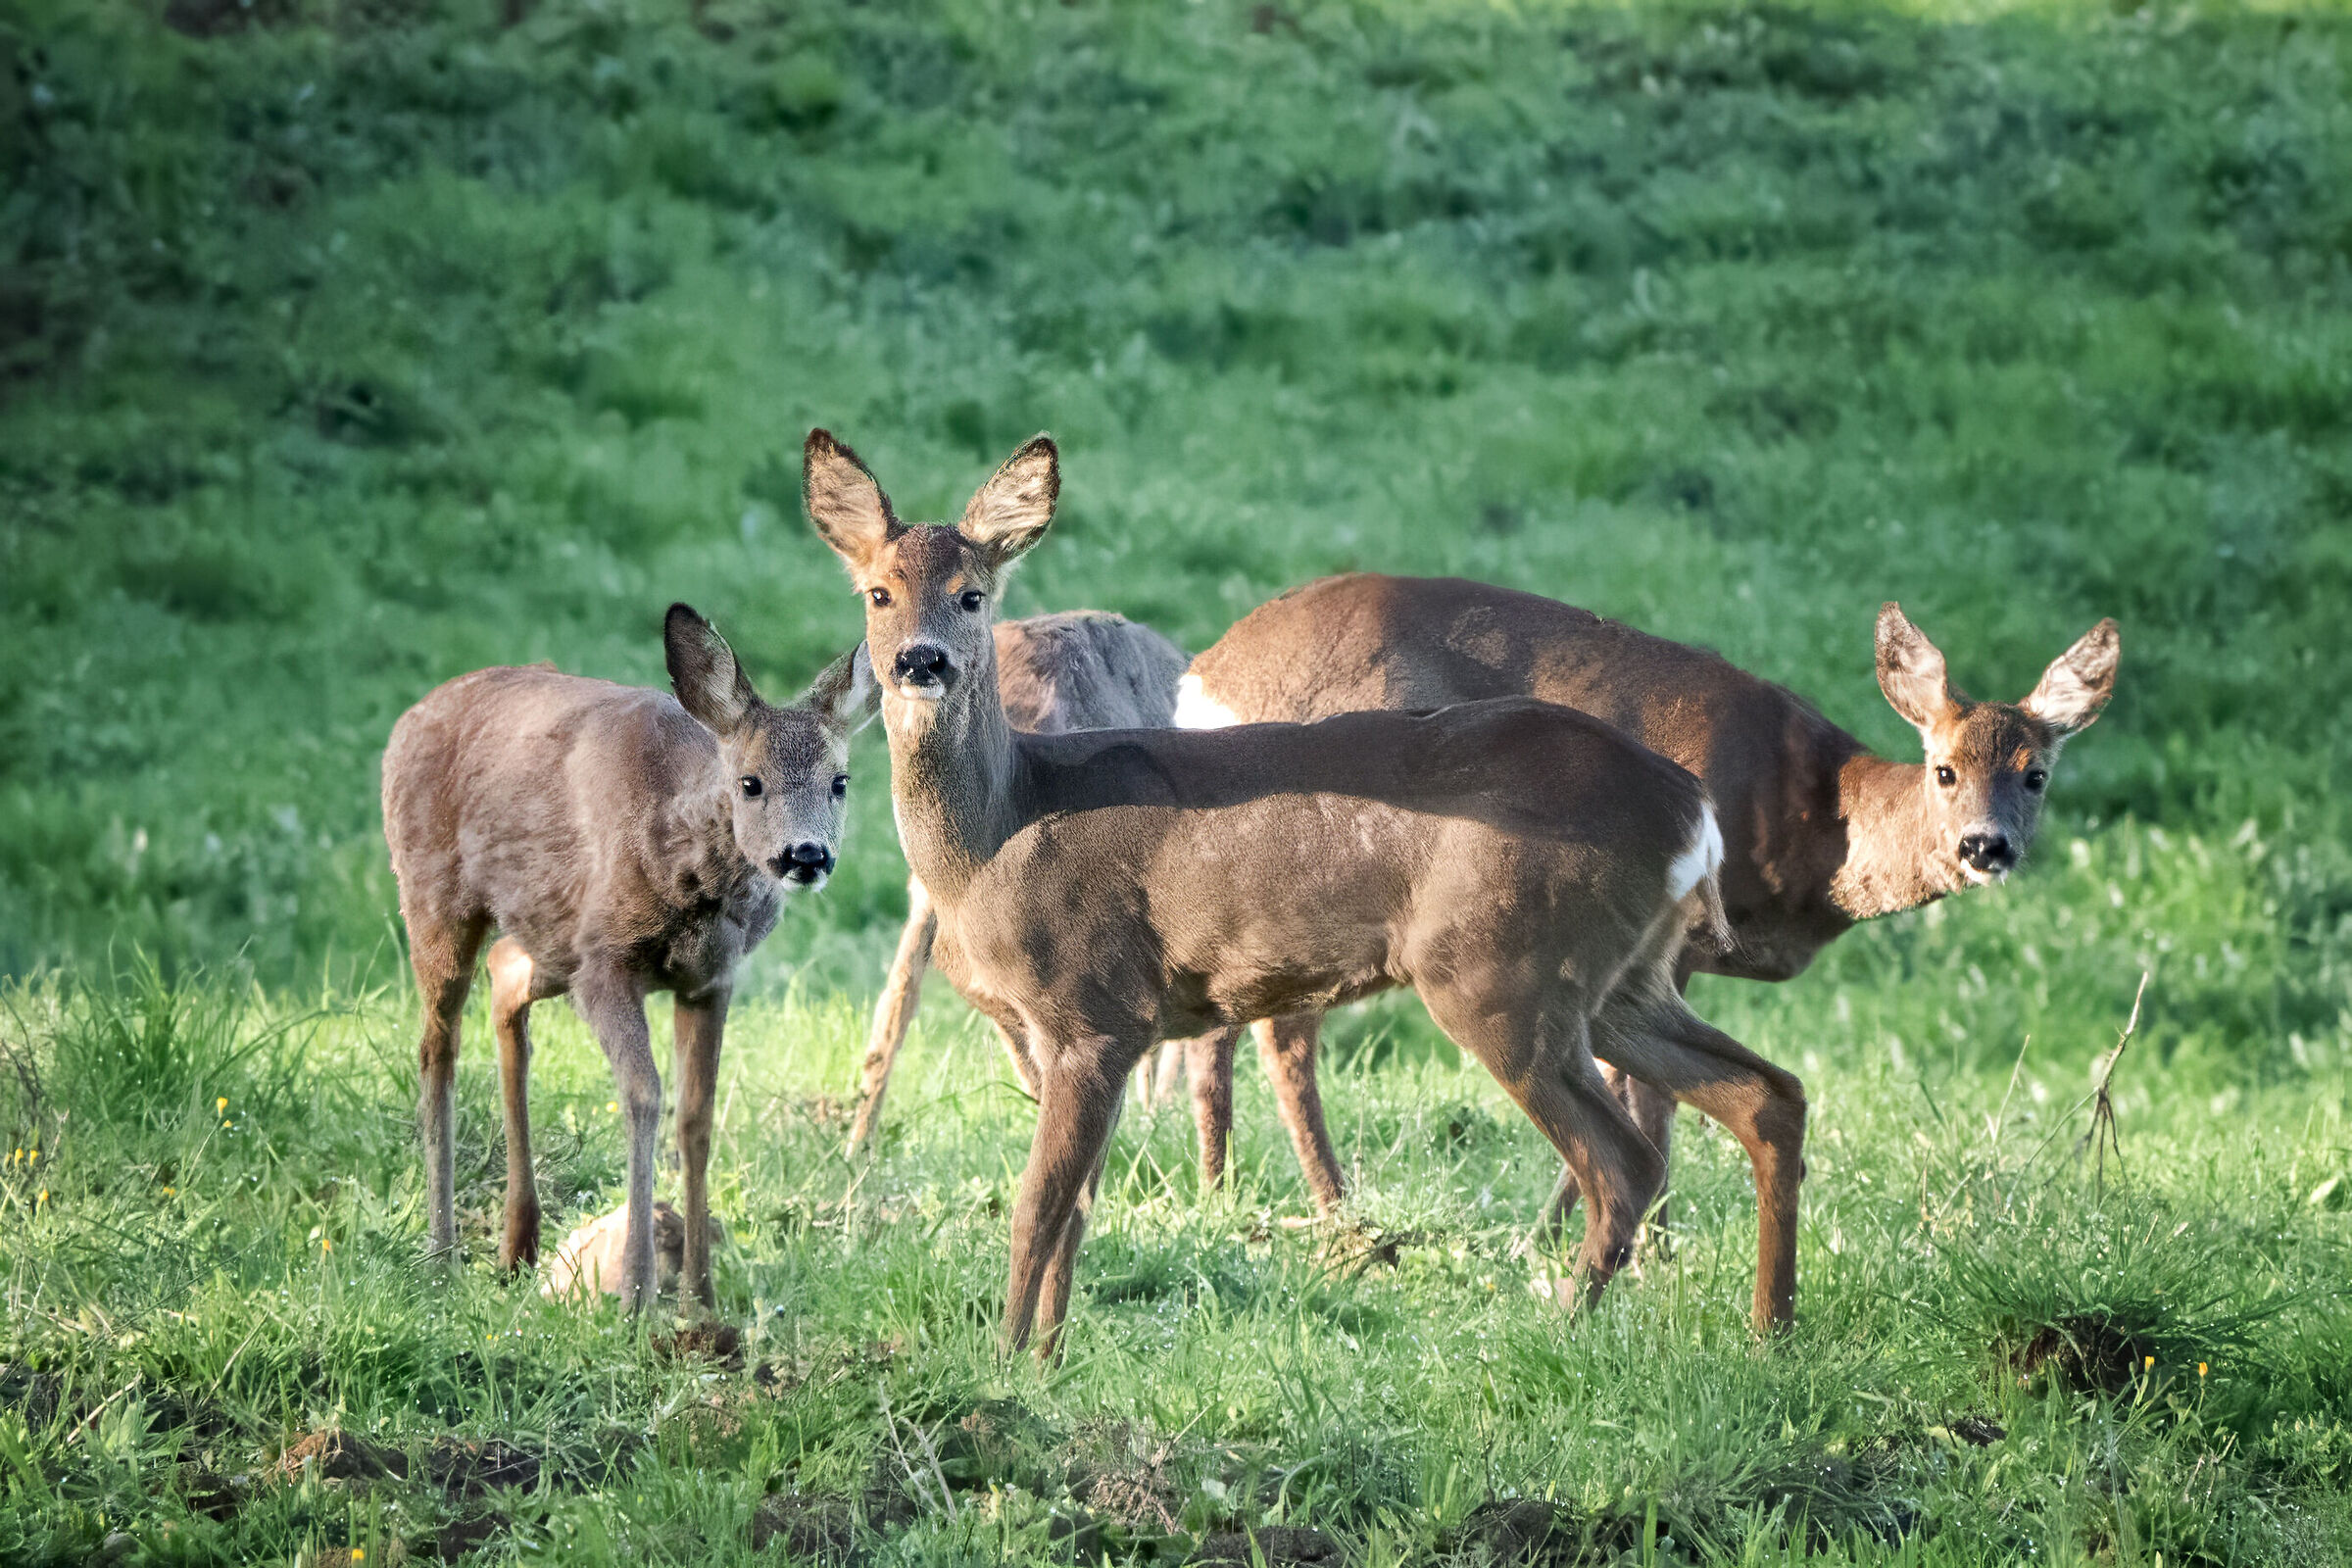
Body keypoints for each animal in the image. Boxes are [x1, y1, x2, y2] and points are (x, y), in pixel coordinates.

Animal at [382, 605, 876, 1310]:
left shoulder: (707, 980)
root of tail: (409, 718)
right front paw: (637, 1293)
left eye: (840, 781)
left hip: (551, 936)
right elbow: (643, 1096)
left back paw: (517, 1243)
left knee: (505, 974)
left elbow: (696, 1117)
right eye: (750, 783)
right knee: (436, 1047)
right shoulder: (607, 965)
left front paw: (700, 1291)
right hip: (433, 894)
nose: (805, 855)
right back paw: (441, 1252)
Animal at [803, 428, 1809, 1350]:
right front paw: (1047, 1361)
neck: (1002, 832)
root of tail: (1692, 810)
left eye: (972, 595)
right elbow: (1079, 1212)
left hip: (1504, 970)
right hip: (1623, 979)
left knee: (1626, 1159)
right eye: (878, 593)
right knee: (1769, 1096)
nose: (921, 662)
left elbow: (1038, 1208)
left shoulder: (1095, 1007)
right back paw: (1770, 1330)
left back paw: (1565, 1328)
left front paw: (1006, 1365)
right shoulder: (1095, 1032)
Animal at [1172, 572, 2120, 1228]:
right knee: (1284, 1034)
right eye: (1945, 769)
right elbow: (1651, 1100)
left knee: (1225, 1018)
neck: (1821, 827)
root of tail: (1204, 676)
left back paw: (1222, 1191)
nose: (1985, 846)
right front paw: (1629, 1241)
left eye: (2035, 773)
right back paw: (1334, 1211)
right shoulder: (1683, 940)